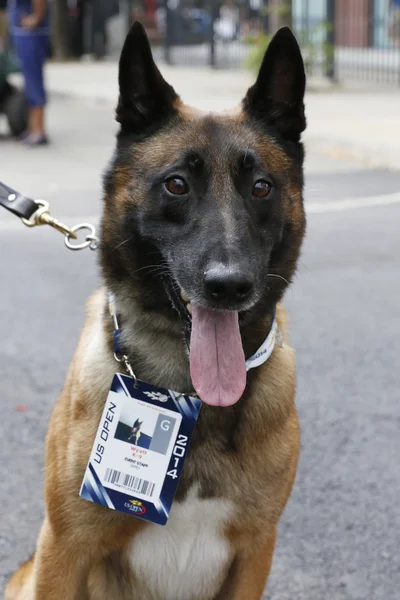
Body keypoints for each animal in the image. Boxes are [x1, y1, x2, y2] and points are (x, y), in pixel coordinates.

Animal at [5, 19, 306, 600]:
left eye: (261, 188)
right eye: (176, 184)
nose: (229, 287)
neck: (189, 395)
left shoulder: (255, 555)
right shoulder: (63, 549)